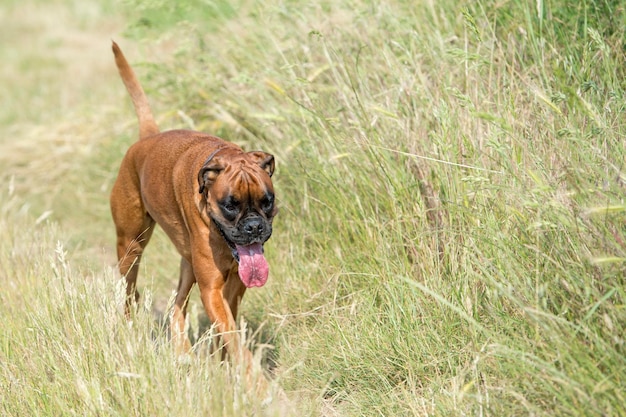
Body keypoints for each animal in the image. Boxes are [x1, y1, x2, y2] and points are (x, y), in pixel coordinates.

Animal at [109, 40, 276, 362]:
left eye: (267, 202)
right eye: (230, 205)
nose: (253, 227)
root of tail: (147, 139)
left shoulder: (232, 286)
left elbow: (226, 333)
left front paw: (221, 363)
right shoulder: (212, 288)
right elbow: (234, 340)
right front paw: (249, 372)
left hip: (187, 262)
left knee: (177, 306)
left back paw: (183, 352)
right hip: (130, 247)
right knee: (130, 293)